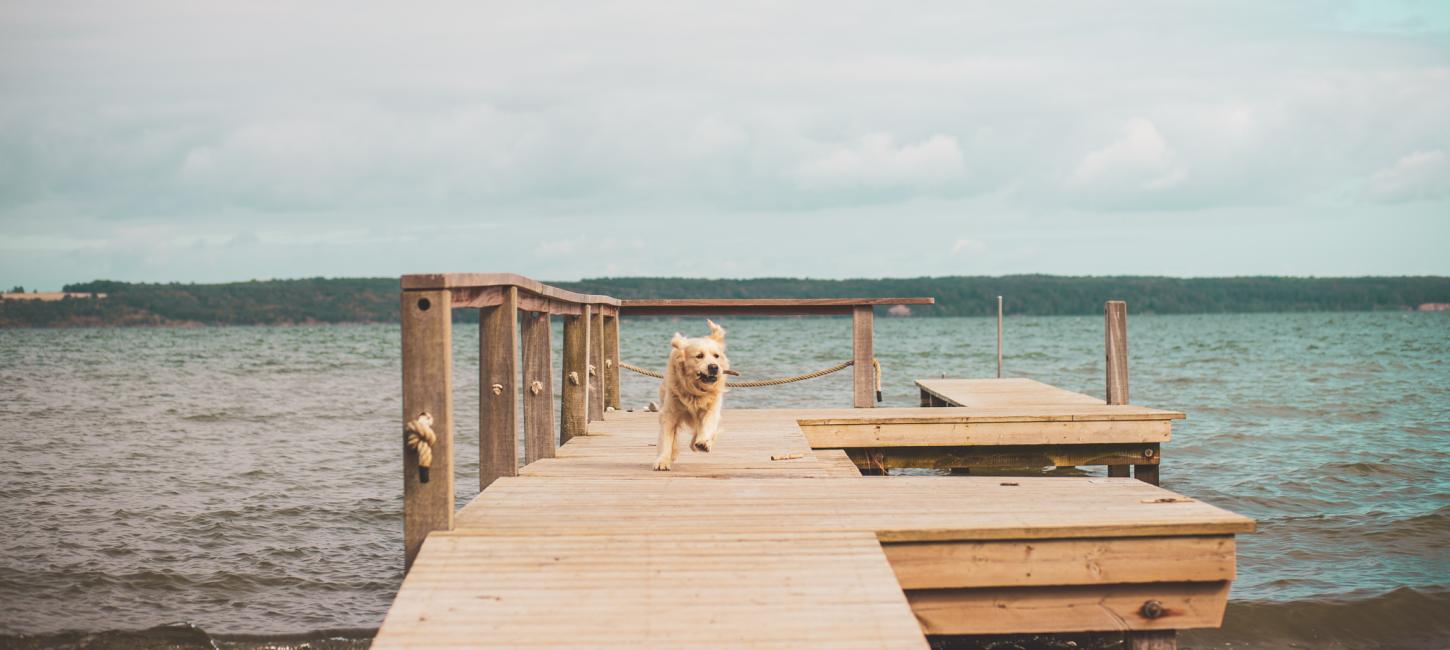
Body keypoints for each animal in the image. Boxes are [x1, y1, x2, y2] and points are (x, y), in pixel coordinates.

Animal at [655, 320, 730, 470]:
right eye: (699, 356)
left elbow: (707, 424)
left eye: (716, 356)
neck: (695, 390)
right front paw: (663, 460)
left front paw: (703, 442)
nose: (714, 367)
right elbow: (667, 438)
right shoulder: (669, 412)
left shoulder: (712, 407)